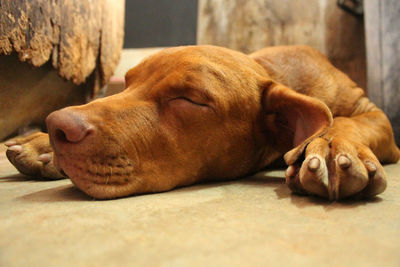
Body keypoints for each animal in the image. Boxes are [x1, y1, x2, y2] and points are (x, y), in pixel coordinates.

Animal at [3, 45, 400, 201]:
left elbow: (346, 122)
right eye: (127, 82)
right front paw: (41, 143)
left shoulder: (373, 113)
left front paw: (334, 150)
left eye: (190, 99)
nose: (57, 126)